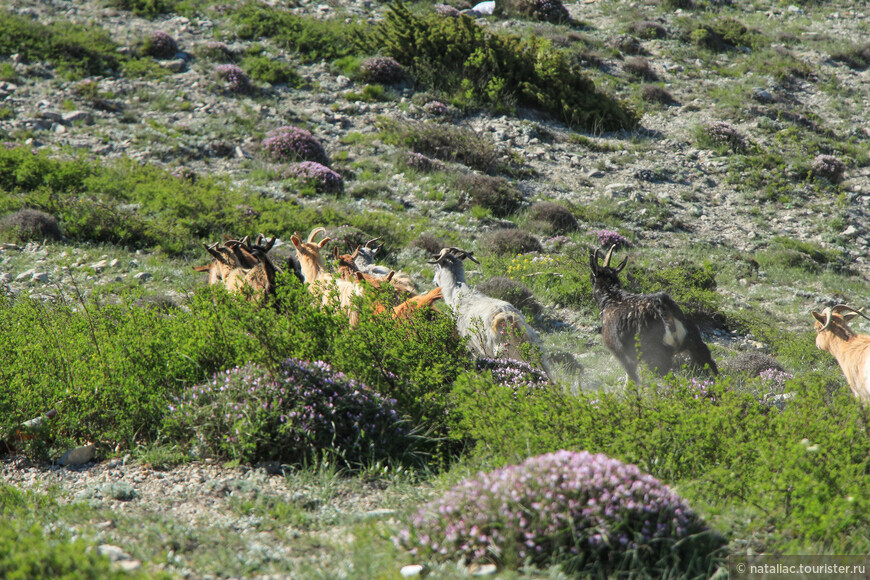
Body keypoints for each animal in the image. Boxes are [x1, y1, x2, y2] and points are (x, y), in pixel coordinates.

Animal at [430, 247, 560, 382]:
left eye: (436, 268)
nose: (434, 282)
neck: (457, 293)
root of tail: (508, 317)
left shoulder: (471, 347)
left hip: (504, 353)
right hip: (535, 349)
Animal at [588, 246, 720, 386]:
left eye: (592, 276)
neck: (610, 298)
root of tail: (664, 306)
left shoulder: (619, 349)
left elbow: (631, 375)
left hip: (655, 353)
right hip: (694, 341)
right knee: (710, 364)